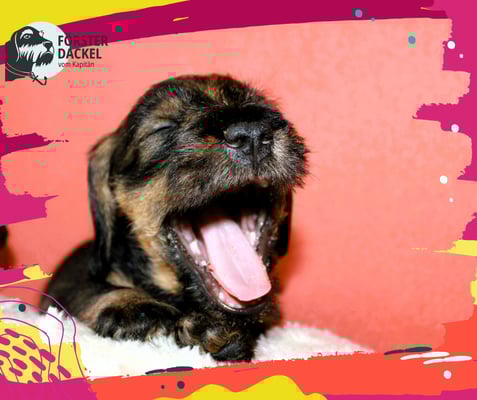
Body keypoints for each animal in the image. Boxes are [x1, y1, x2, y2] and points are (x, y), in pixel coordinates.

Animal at [40, 74, 308, 361]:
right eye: (163, 129)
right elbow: (88, 290)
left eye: (261, 106)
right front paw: (134, 306)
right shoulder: (69, 279)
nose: (252, 134)